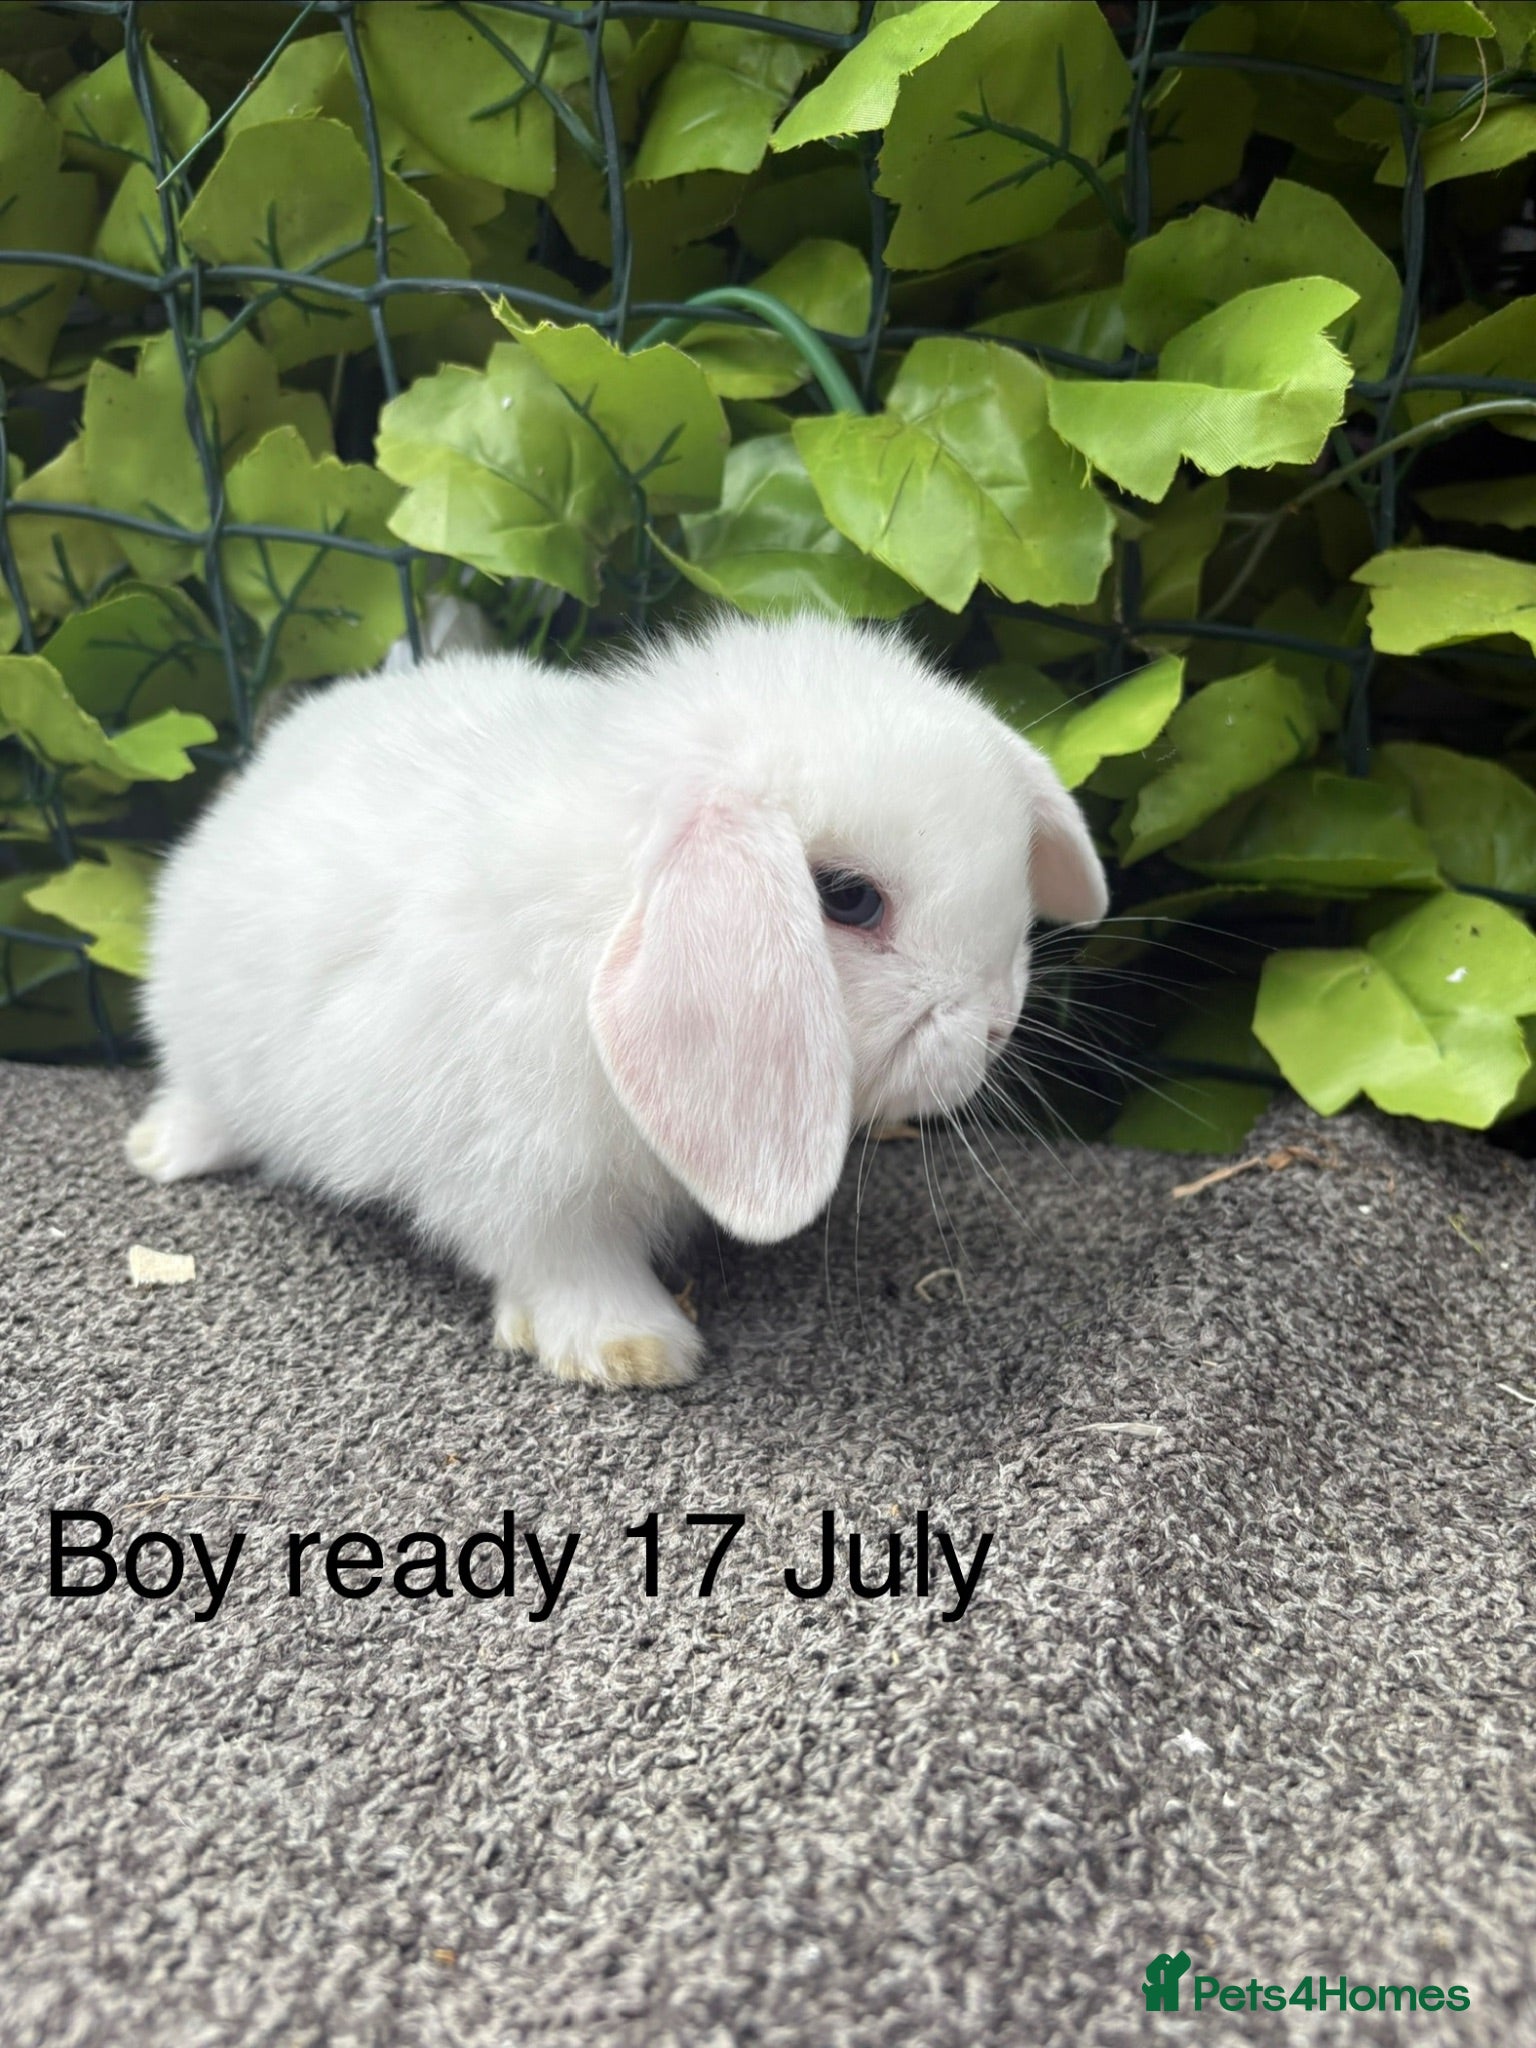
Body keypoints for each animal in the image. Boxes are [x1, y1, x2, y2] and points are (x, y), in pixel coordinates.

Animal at [126, 612, 1108, 1391]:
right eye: (849, 898)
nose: (997, 1023)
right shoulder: (518, 1178)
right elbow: (565, 1263)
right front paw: (632, 1351)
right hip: (204, 1037)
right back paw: (163, 1152)